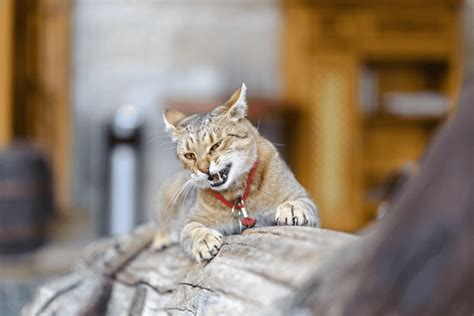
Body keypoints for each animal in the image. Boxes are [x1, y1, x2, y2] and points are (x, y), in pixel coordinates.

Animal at [154, 83, 320, 262]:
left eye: (216, 145)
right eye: (190, 155)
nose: (203, 169)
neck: (237, 194)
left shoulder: (300, 195)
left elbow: (301, 202)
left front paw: (292, 207)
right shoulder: (191, 219)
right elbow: (191, 230)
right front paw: (203, 239)